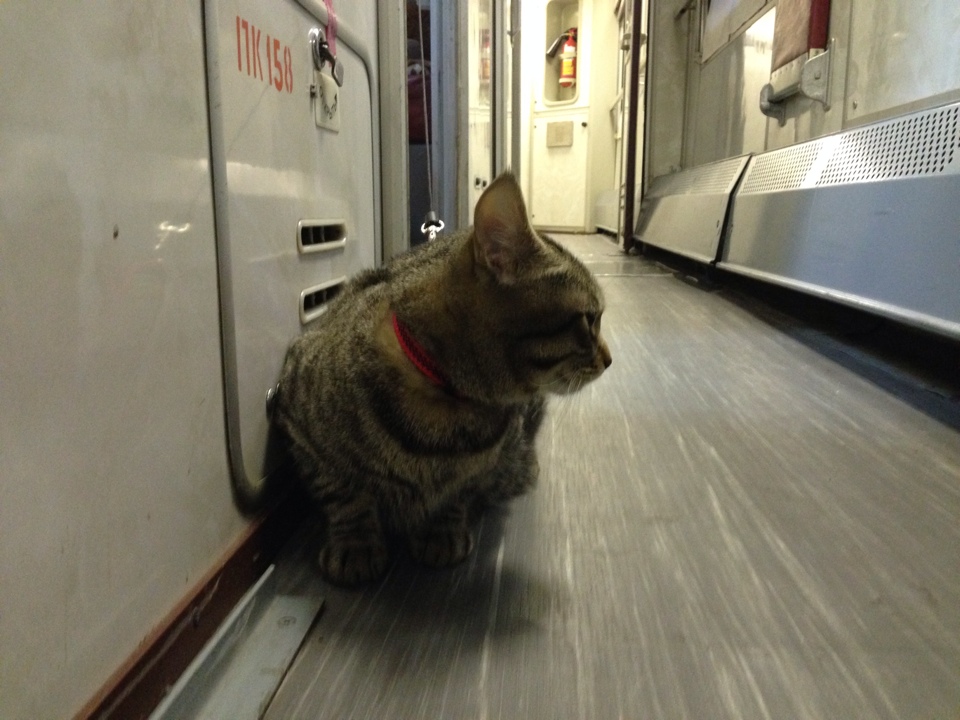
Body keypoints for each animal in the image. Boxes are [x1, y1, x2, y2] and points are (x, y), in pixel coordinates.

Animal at [273, 172, 611, 586]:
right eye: (589, 319)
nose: (610, 359)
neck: (446, 404)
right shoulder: (299, 426)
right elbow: (343, 496)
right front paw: (355, 543)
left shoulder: (477, 472)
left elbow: (457, 495)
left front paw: (441, 531)